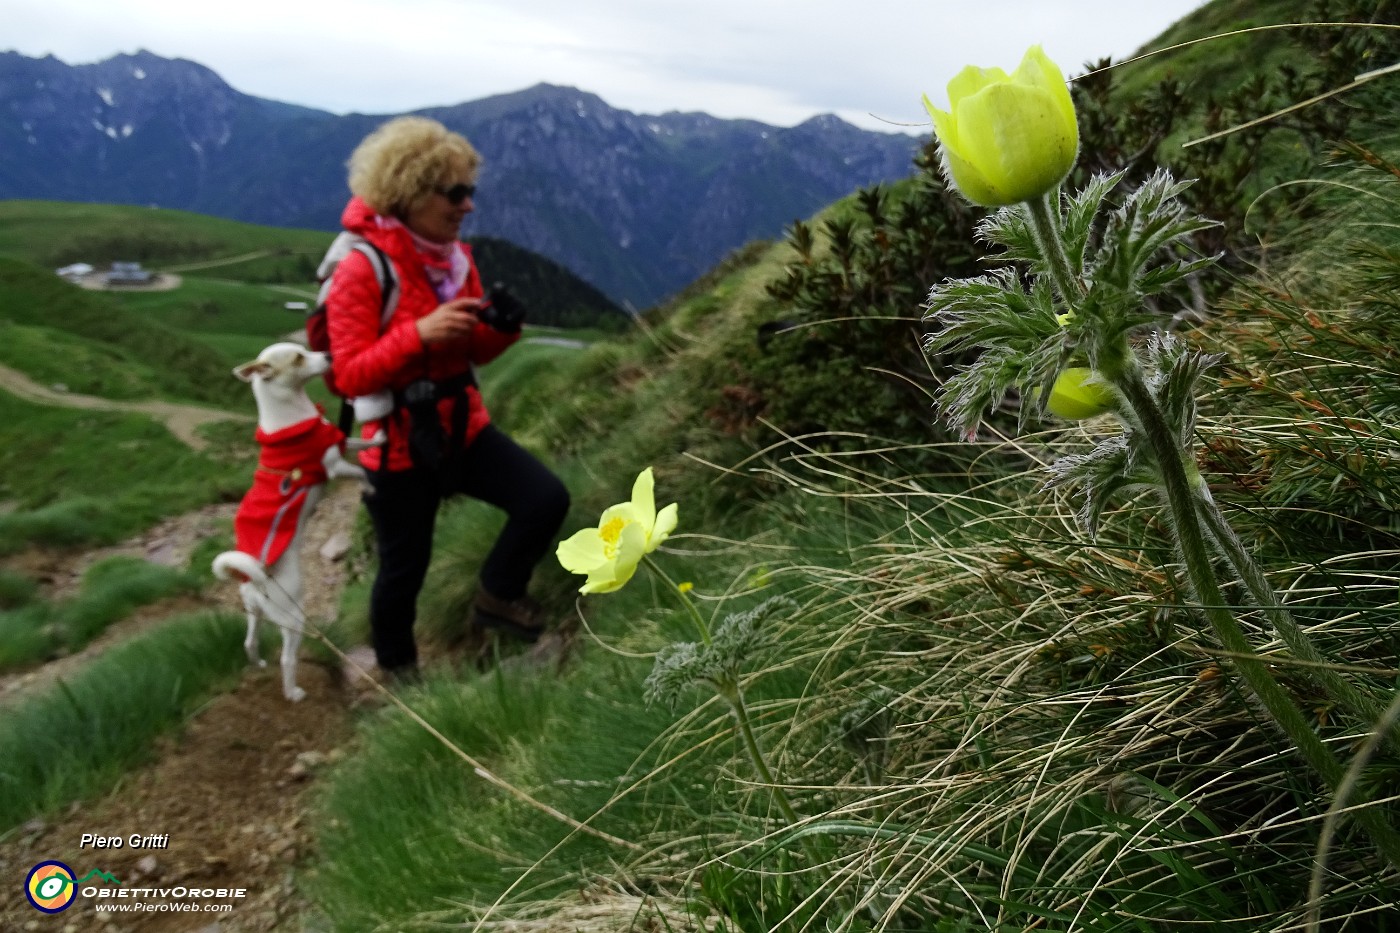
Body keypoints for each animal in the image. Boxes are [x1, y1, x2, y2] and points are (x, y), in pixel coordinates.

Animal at [211, 341, 375, 697]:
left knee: (249, 642)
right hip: (294, 620)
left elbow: (357, 440)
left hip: (255, 613)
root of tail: (256, 579)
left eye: (306, 348)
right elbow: (357, 471)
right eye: (299, 358)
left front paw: (380, 437)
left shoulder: (337, 440)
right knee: (288, 658)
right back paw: (293, 693)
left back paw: (258, 664)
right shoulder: (333, 465)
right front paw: (371, 484)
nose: (329, 355)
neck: (294, 416)